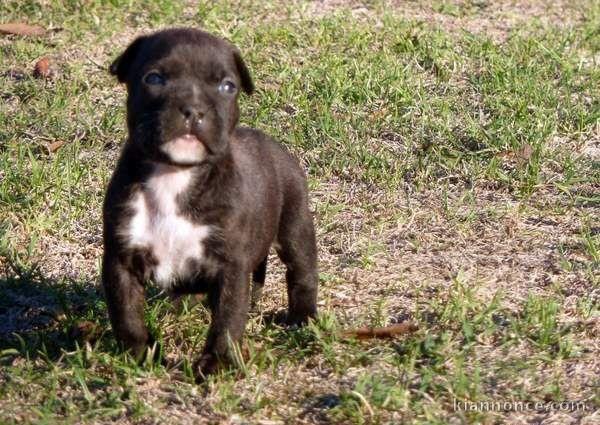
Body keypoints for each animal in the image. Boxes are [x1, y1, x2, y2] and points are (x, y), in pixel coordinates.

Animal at [103, 28, 318, 380]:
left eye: (227, 87)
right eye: (154, 78)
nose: (193, 109)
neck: (175, 174)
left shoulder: (230, 266)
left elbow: (227, 321)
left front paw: (216, 365)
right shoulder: (121, 259)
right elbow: (126, 317)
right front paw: (140, 357)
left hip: (295, 222)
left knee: (301, 270)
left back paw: (302, 318)